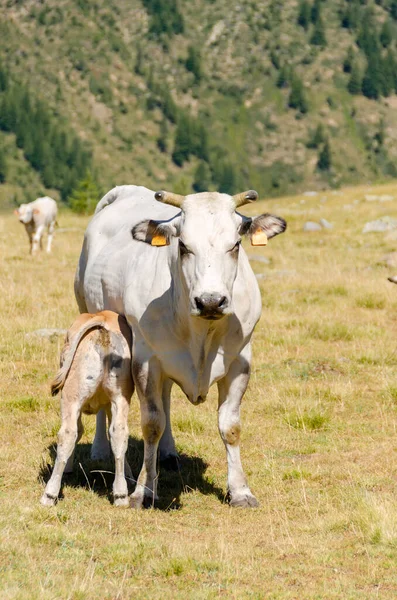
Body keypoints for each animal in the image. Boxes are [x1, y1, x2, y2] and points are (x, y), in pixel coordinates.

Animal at [74, 185, 284, 508]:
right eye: (183, 246)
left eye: (236, 244)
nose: (210, 301)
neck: (201, 334)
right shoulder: (147, 360)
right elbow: (151, 423)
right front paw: (144, 490)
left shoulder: (240, 360)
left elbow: (230, 426)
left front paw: (240, 491)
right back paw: (101, 451)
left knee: (167, 396)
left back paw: (169, 453)